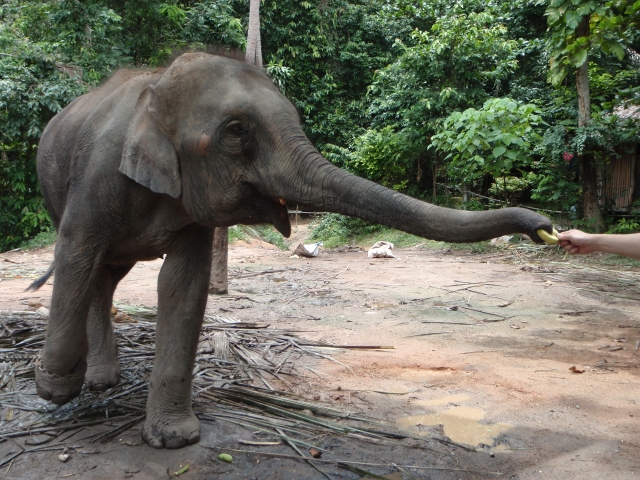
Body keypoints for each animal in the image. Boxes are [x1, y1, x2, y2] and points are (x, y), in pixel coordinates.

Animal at [31, 52, 553, 449]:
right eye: (236, 131)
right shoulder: (96, 177)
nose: (543, 227)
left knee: (108, 275)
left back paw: (103, 380)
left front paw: (174, 440)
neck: (156, 92)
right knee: (93, 269)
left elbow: (181, 285)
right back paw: (91, 383)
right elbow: (75, 253)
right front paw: (53, 389)